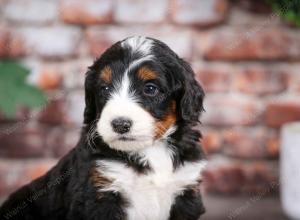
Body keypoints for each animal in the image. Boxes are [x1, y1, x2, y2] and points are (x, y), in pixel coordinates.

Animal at [0, 36, 206, 220]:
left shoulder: (186, 191)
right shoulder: (99, 195)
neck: (150, 150)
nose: (120, 124)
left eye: (150, 88)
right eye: (105, 89)